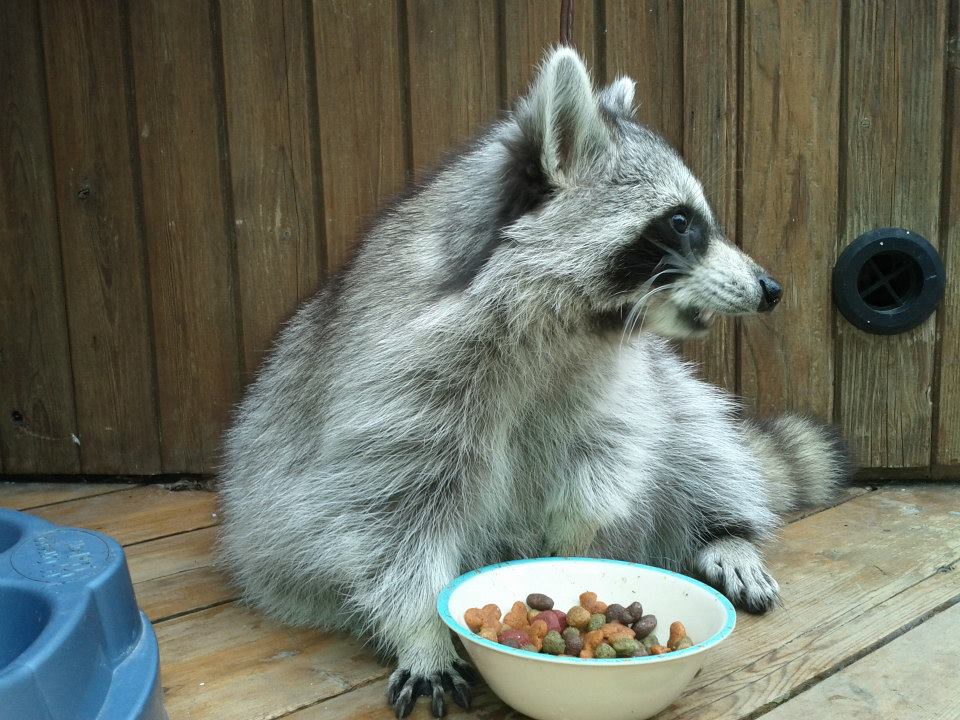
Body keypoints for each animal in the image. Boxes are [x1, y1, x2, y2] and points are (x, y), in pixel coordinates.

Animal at [218, 47, 851, 718]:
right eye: (681, 222)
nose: (771, 289)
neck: (569, 323)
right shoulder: (399, 386)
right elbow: (388, 519)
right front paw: (421, 627)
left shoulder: (621, 383)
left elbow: (610, 462)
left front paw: (574, 541)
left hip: (672, 390)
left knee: (695, 439)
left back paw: (725, 531)